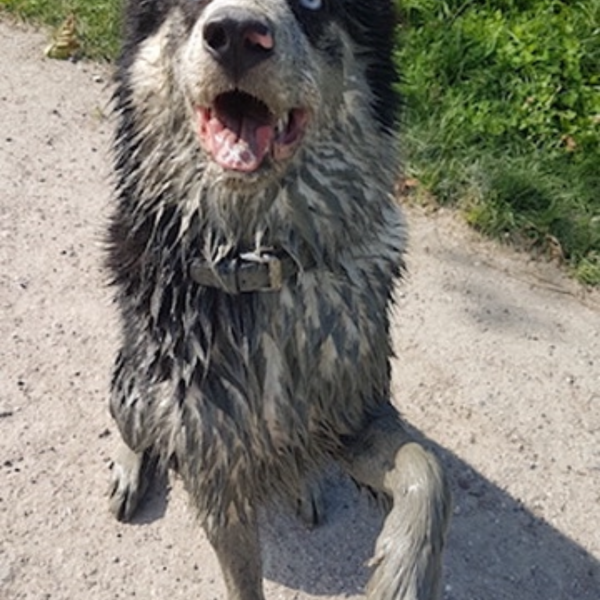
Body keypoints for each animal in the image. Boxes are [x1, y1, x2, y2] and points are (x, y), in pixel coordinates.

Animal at [106, 1, 450, 600]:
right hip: (133, 387)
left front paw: (402, 573)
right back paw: (129, 468)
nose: (237, 36)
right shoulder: (214, 468)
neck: (258, 261)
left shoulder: (357, 410)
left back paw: (302, 484)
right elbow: (243, 578)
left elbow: (426, 469)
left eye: (313, 5)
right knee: (130, 423)